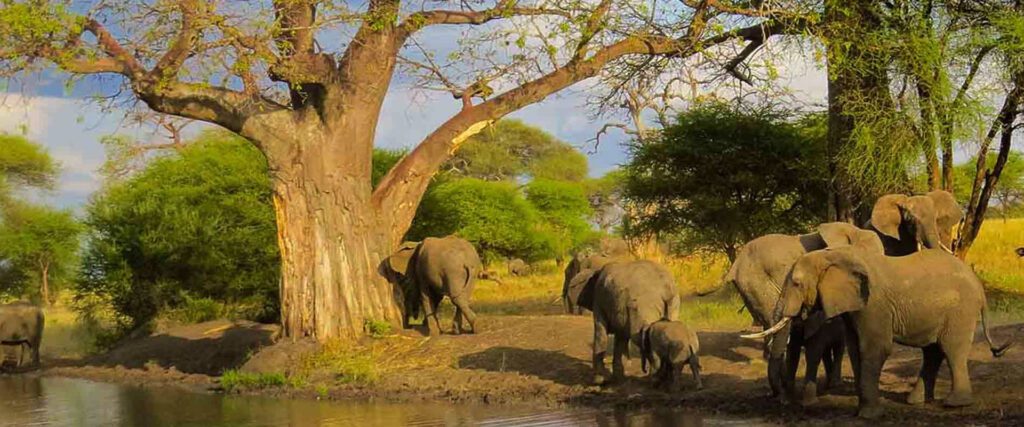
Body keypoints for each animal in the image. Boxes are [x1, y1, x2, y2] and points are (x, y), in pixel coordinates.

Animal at [757, 244, 1011, 417]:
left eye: (797, 284)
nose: (783, 402)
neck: (831, 255)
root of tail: (978, 284)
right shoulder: (855, 307)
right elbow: (856, 349)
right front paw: (862, 408)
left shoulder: (873, 304)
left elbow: (876, 348)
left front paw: (868, 415)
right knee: (933, 351)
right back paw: (915, 401)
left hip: (960, 310)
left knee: (952, 349)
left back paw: (955, 404)